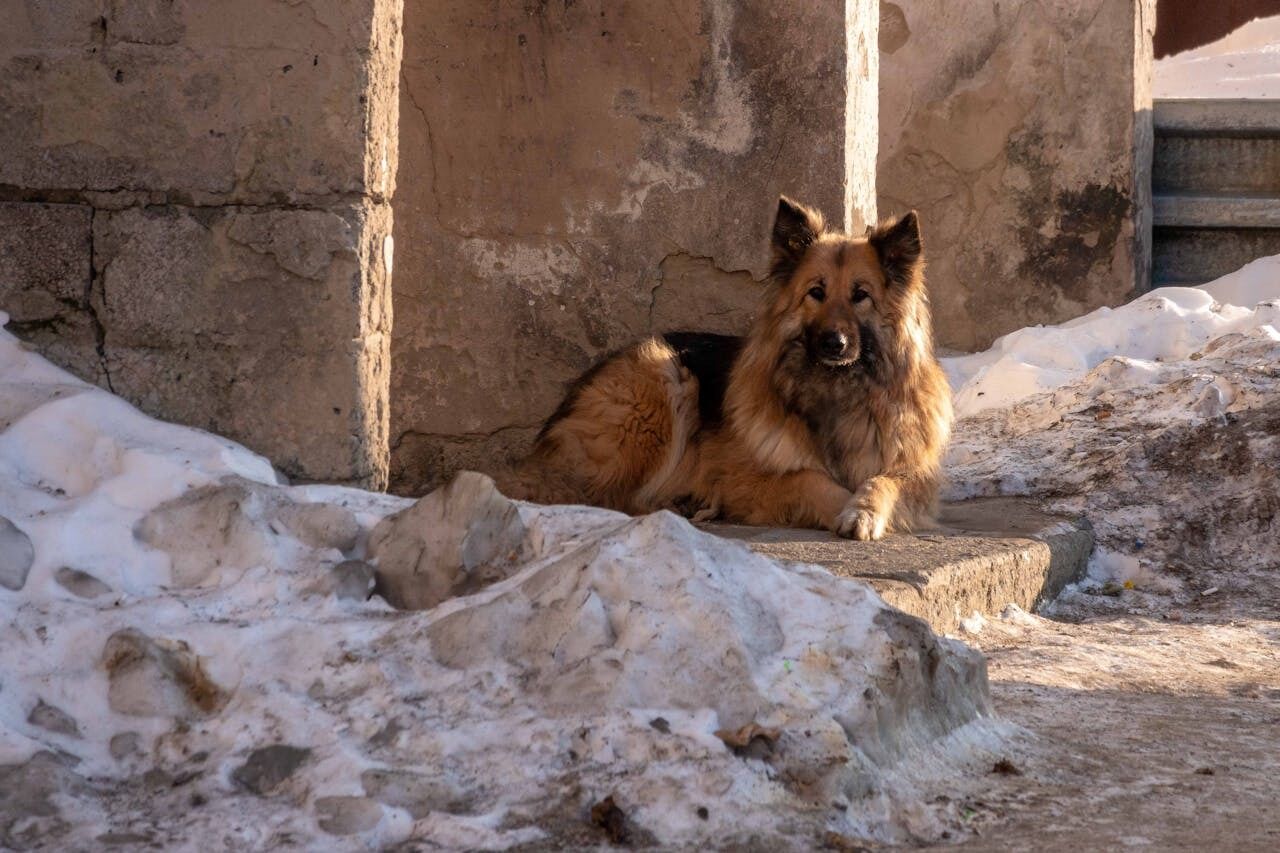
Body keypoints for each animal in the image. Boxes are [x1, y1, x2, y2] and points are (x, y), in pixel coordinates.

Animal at [499, 194, 952, 535]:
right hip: (659, 383)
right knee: (595, 494)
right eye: (816, 293)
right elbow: (810, 479)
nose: (834, 343)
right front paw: (847, 507)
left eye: (861, 295)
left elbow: (883, 482)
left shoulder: (912, 473)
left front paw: (864, 510)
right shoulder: (750, 480)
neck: (837, 391)